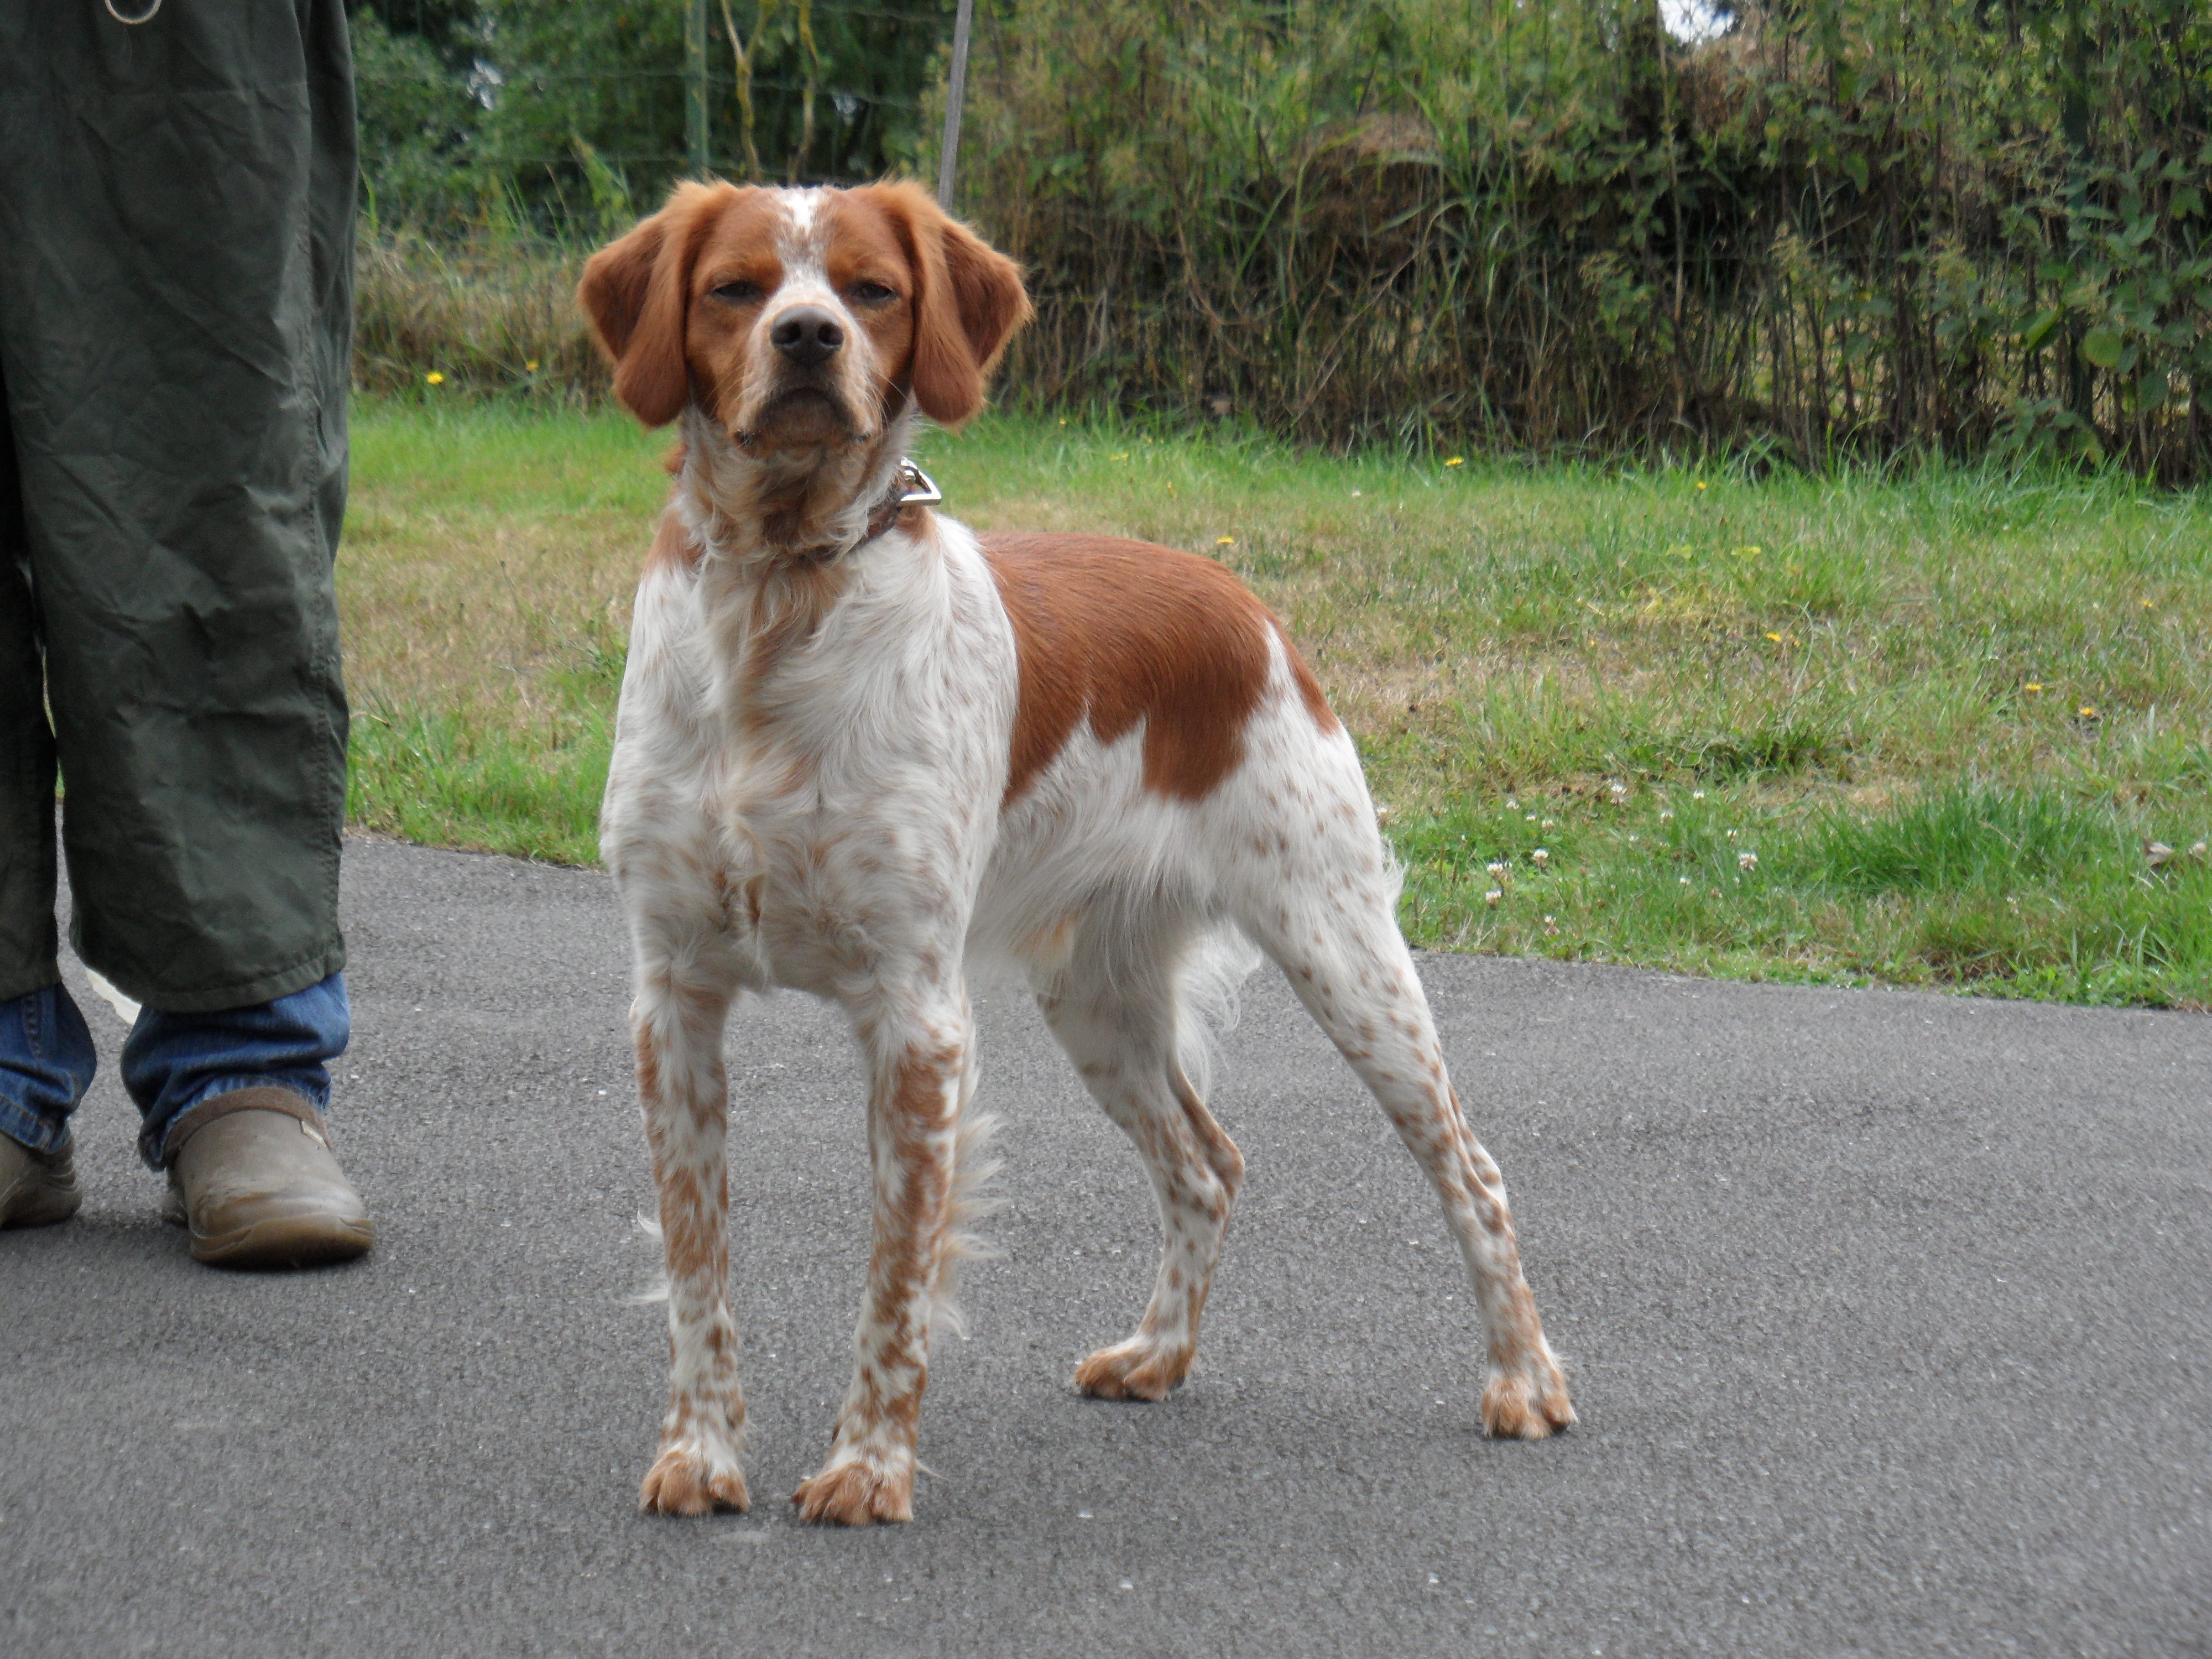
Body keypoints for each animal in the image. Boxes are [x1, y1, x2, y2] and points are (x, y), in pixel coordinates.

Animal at [580, 179, 1566, 1522]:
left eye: (871, 290)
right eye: (735, 288)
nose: (808, 340)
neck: (783, 599)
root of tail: (1246, 604)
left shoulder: (917, 1015)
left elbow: (897, 1281)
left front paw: (868, 1468)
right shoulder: (672, 999)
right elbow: (696, 1265)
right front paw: (699, 1454)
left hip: (1343, 952)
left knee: (1473, 1170)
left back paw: (1522, 1379)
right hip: (1098, 998)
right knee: (1207, 1165)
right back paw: (1157, 1355)